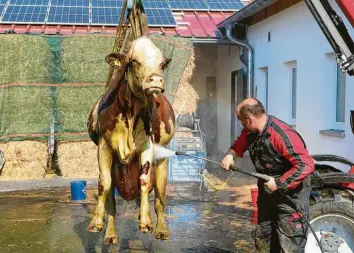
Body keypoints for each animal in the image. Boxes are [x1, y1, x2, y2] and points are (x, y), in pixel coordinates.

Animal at [87, 35, 176, 243]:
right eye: (134, 61)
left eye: (161, 63)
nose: (156, 80)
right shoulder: (104, 147)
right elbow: (103, 184)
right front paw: (96, 222)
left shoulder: (147, 146)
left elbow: (143, 181)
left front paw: (146, 222)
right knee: (111, 203)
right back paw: (110, 234)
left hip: (162, 166)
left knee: (160, 200)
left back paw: (160, 229)